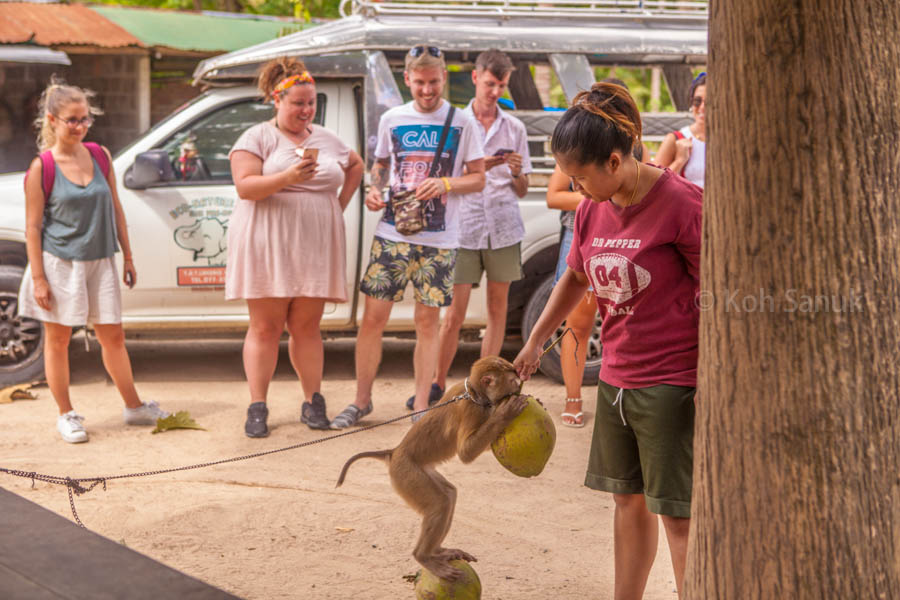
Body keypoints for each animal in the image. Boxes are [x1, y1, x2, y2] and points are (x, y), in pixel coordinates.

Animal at [334, 356, 528, 580]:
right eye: (512, 380)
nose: (518, 386)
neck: (474, 392)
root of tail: (394, 452)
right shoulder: (472, 409)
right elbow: (465, 453)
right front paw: (505, 414)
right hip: (406, 474)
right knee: (440, 503)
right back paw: (423, 556)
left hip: (418, 471)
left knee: (449, 495)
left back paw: (438, 551)